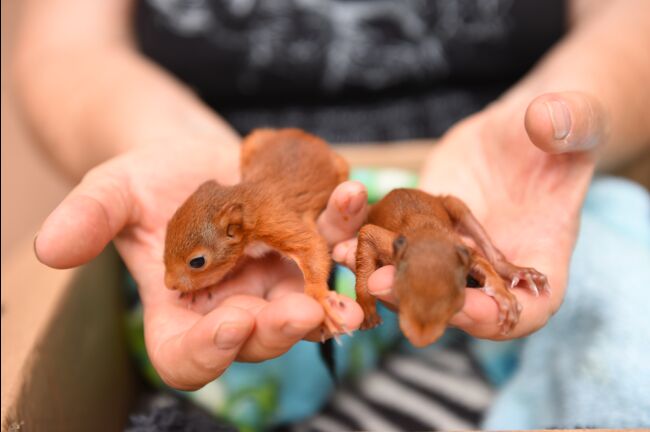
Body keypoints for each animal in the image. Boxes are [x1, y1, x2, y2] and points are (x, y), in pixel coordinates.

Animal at [165, 127, 352, 334]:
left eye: (197, 262)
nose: (169, 284)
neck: (247, 203)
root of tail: (304, 135)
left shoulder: (272, 221)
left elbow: (311, 244)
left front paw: (319, 297)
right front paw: (202, 289)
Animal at [354, 189, 548, 348]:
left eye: (456, 306)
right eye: (399, 295)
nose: (419, 340)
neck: (429, 233)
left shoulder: (462, 248)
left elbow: (483, 263)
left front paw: (504, 296)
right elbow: (367, 232)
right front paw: (367, 309)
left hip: (453, 205)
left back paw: (516, 271)